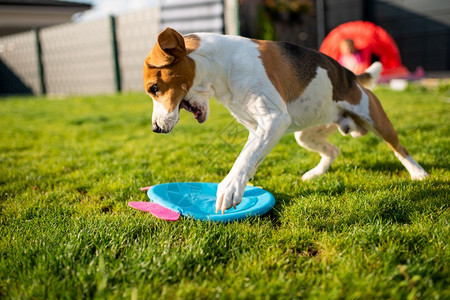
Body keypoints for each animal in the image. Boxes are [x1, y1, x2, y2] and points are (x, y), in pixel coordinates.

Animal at [144, 28, 428, 214]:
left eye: (154, 89)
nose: (156, 129)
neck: (222, 67)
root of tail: (351, 76)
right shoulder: (258, 129)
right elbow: (251, 156)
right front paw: (245, 182)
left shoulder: (273, 120)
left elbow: (244, 158)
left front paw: (231, 187)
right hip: (306, 135)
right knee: (333, 150)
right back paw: (315, 173)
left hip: (376, 119)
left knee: (399, 149)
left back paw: (418, 173)